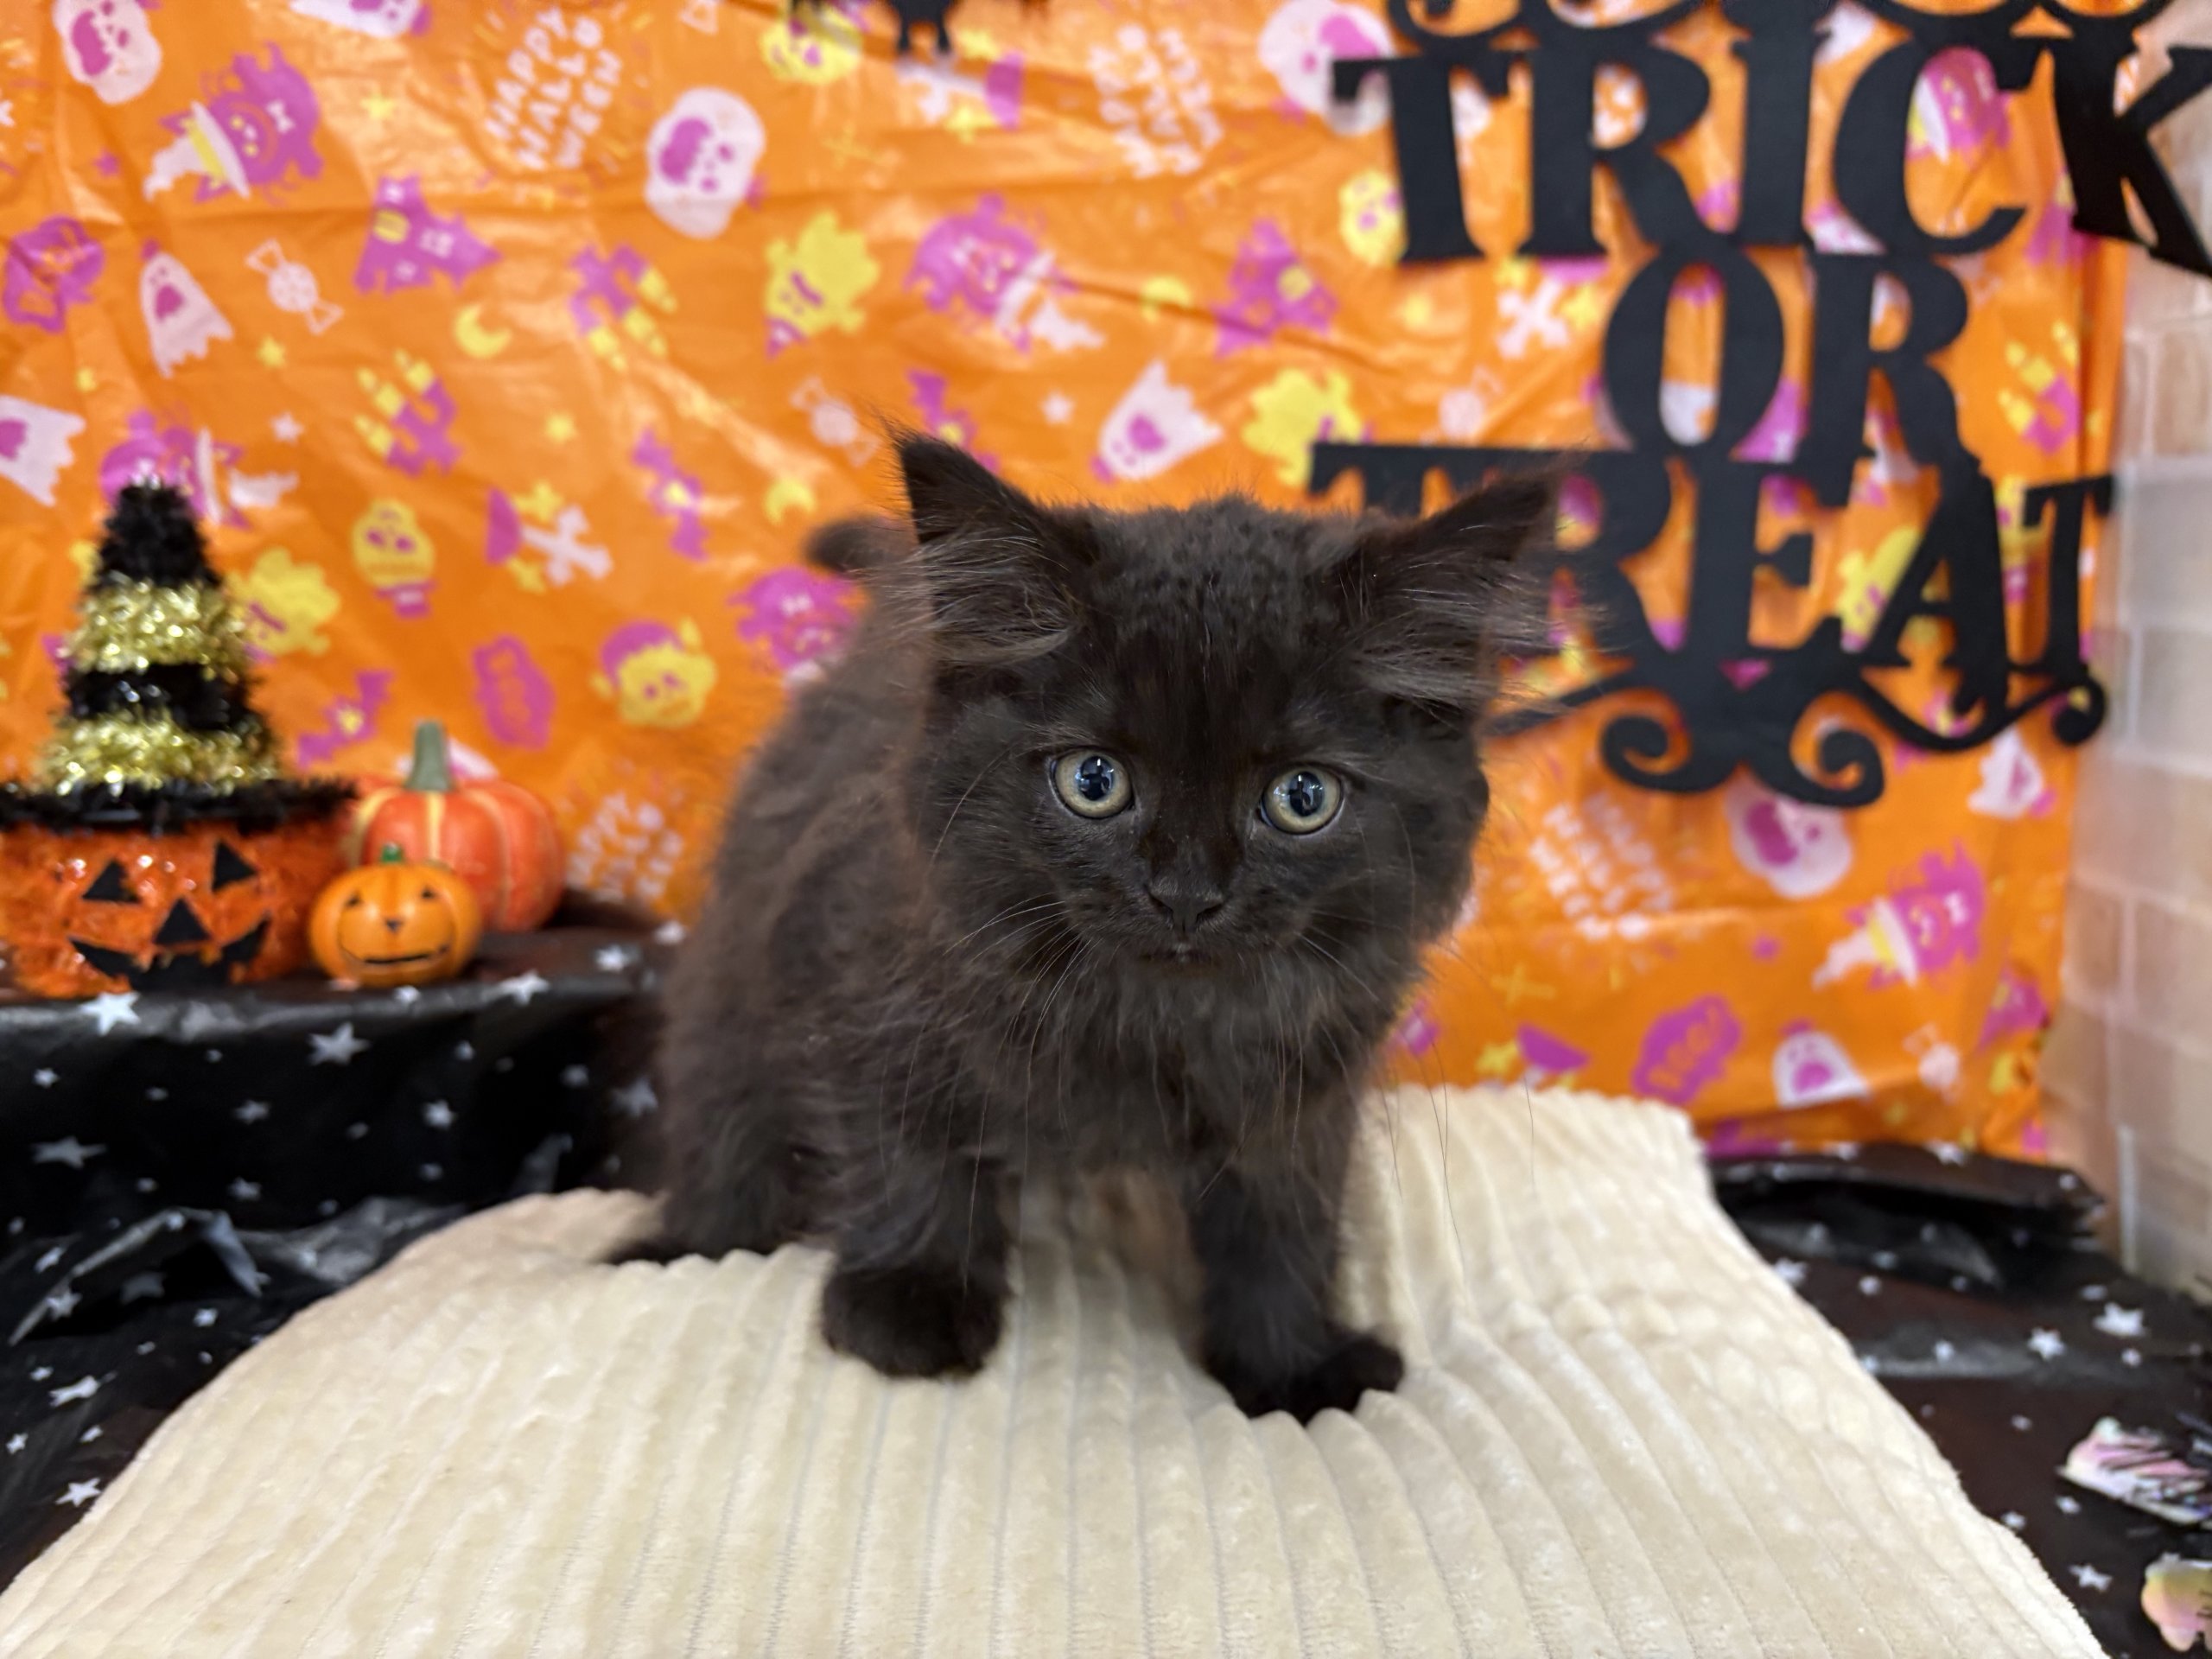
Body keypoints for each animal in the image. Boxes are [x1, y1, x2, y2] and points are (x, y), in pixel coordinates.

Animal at [635, 433, 1554, 1421]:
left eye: (1303, 797)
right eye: (1094, 781)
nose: (1186, 893)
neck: (1154, 1019)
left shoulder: (1303, 1087)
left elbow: (1282, 1223)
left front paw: (1290, 1363)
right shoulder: (858, 968)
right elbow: (904, 1146)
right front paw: (911, 1303)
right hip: (730, 991)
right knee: (723, 1133)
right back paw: (677, 1245)